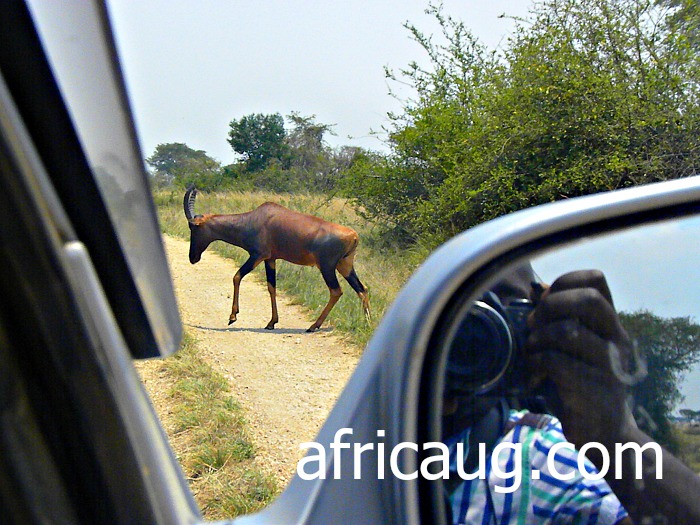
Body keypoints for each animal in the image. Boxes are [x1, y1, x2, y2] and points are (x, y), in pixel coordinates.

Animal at [185, 185, 372, 332]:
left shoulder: (257, 256)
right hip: (345, 266)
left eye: (194, 227)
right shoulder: (270, 259)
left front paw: (232, 317)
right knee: (362, 289)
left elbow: (237, 276)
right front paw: (271, 322)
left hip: (327, 267)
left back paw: (313, 326)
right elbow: (271, 287)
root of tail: (354, 235)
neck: (254, 219)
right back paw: (367, 324)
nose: (193, 258)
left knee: (336, 291)